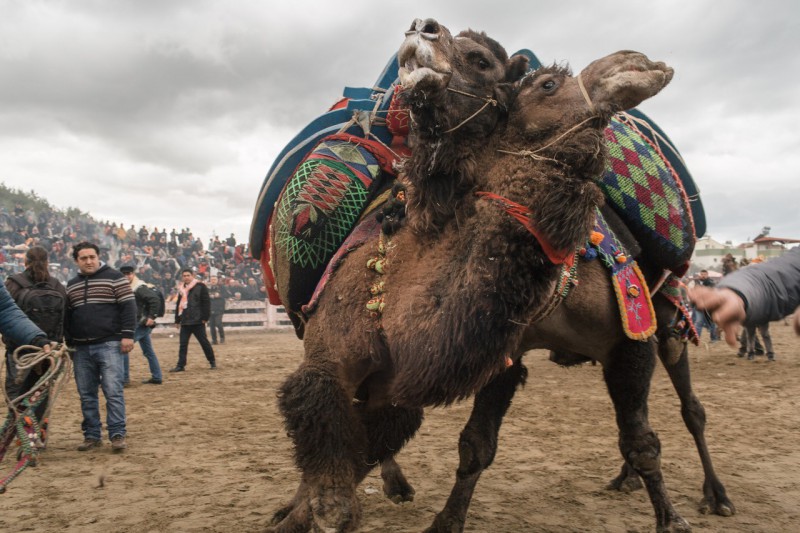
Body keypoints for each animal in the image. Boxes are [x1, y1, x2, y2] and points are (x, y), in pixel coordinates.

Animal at [269, 42, 696, 531]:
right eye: (548, 84)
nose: (640, 63)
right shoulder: (337, 363)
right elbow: (344, 475)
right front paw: (296, 513)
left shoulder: (629, 333)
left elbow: (641, 443)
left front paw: (672, 520)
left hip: (667, 321)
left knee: (689, 407)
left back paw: (710, 494)